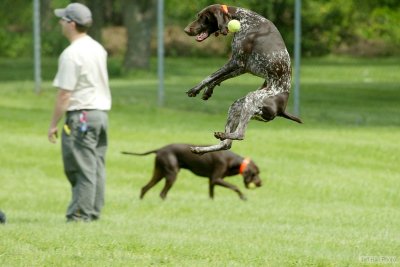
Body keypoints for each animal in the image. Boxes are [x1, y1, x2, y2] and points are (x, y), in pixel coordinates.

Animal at [121, 144, 262, 201]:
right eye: (256, 173)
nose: (261, 184)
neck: (233, 161)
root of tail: (160, 149)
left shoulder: (212, 181)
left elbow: (211, 195)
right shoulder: (216, 179)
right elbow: (235, 186)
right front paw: (243, 197)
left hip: (159, 173)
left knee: (144, 188)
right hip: (171, 174)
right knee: (162, 193)